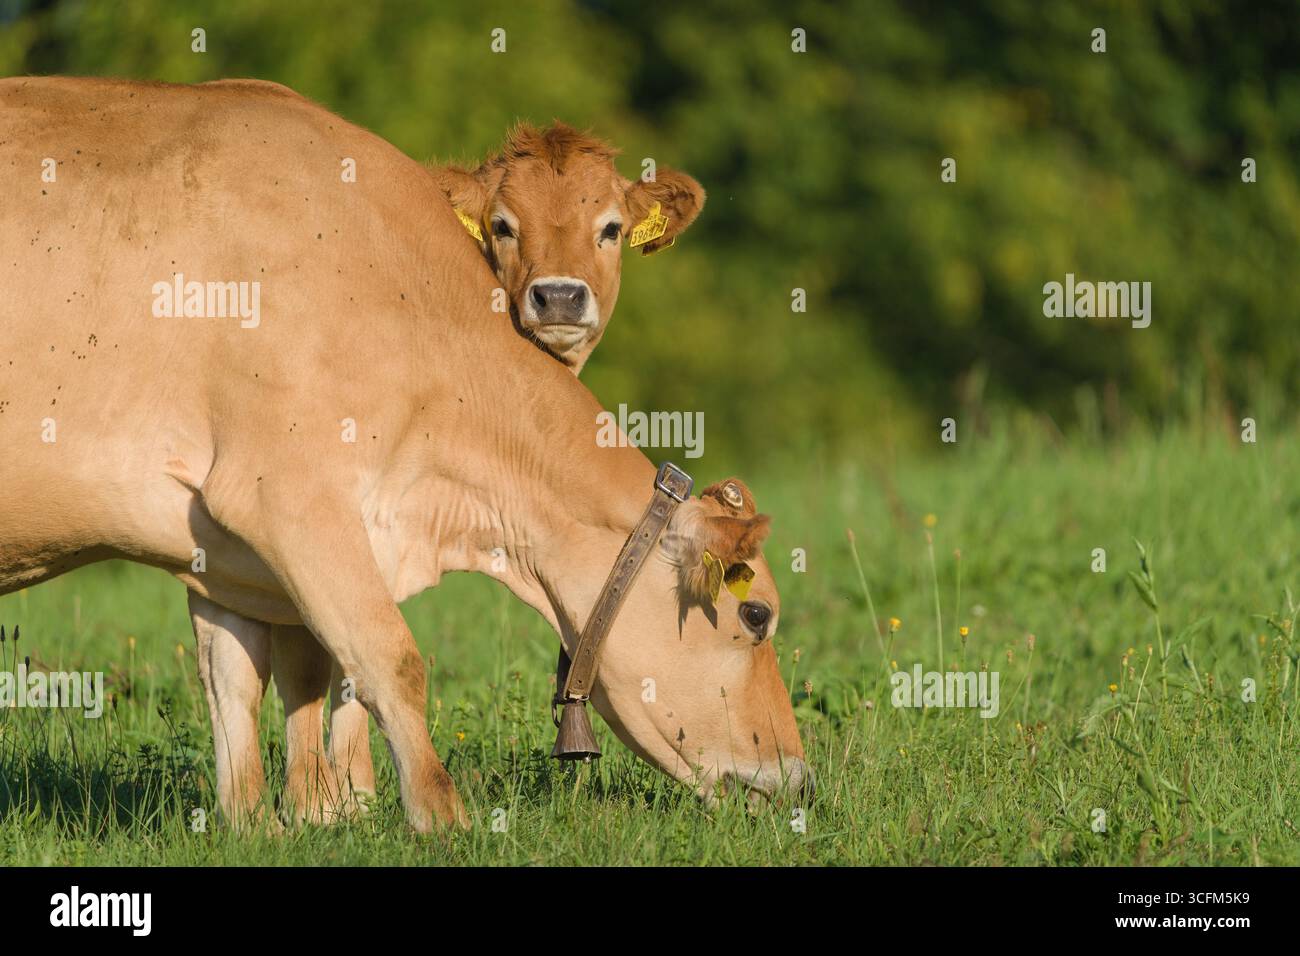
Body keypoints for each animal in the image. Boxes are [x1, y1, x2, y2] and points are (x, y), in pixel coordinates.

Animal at [0, 76, 809, 831]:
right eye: (757, 614)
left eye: (611, 227)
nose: (797, 775)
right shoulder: (288, 495)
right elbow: (388, 658)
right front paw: (434, 818)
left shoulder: (223, 553)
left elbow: (240, 679)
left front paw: (268, 820)